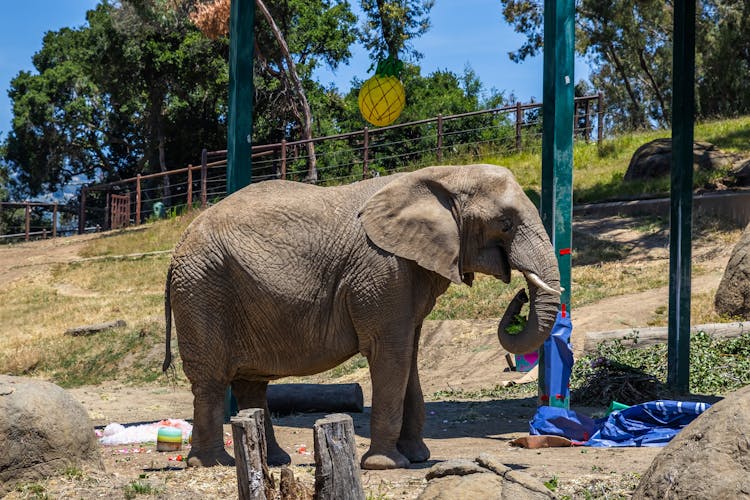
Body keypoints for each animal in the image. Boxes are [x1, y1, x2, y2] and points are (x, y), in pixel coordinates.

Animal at [164, 164, 564, 468]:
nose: (521, 294)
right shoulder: (383, 269)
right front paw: (387, 465)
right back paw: (213, 464)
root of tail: (177, 246)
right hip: (202, 287)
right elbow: (391, 354)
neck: (443, 175)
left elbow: (409, 356)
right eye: (505, 224)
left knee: (251, 383)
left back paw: (274, 461)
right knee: (212, 379)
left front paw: (417, 457)